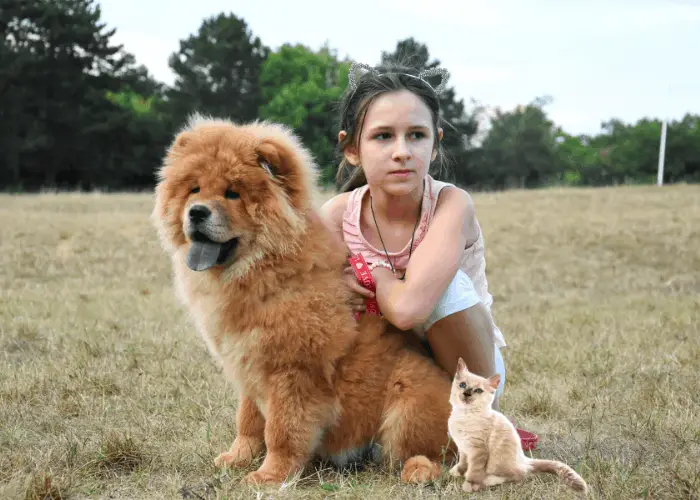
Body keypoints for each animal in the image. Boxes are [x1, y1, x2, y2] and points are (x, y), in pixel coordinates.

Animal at [151, 113, 456, 484]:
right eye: (194, 189)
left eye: (233, 194)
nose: (196, 212)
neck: (264, 271)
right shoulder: (249, 362)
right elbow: (248, 420)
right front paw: (238, 458)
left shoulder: (293, 371)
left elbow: (282, 430)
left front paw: (269, 476)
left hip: (408, 395)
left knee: (444, 455)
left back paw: (419, 470)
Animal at [446, 358, 588, 494]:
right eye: (462, 385)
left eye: (478, 390)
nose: (467, 394)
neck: (464, 415)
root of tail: (524, 459)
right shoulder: (463, 447)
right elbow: (463, 463)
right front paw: (457, 472)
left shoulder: (478, 451)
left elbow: (474, 470)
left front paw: (470, 485)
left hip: (497, 463)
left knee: (518, 475)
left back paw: (490, 480)